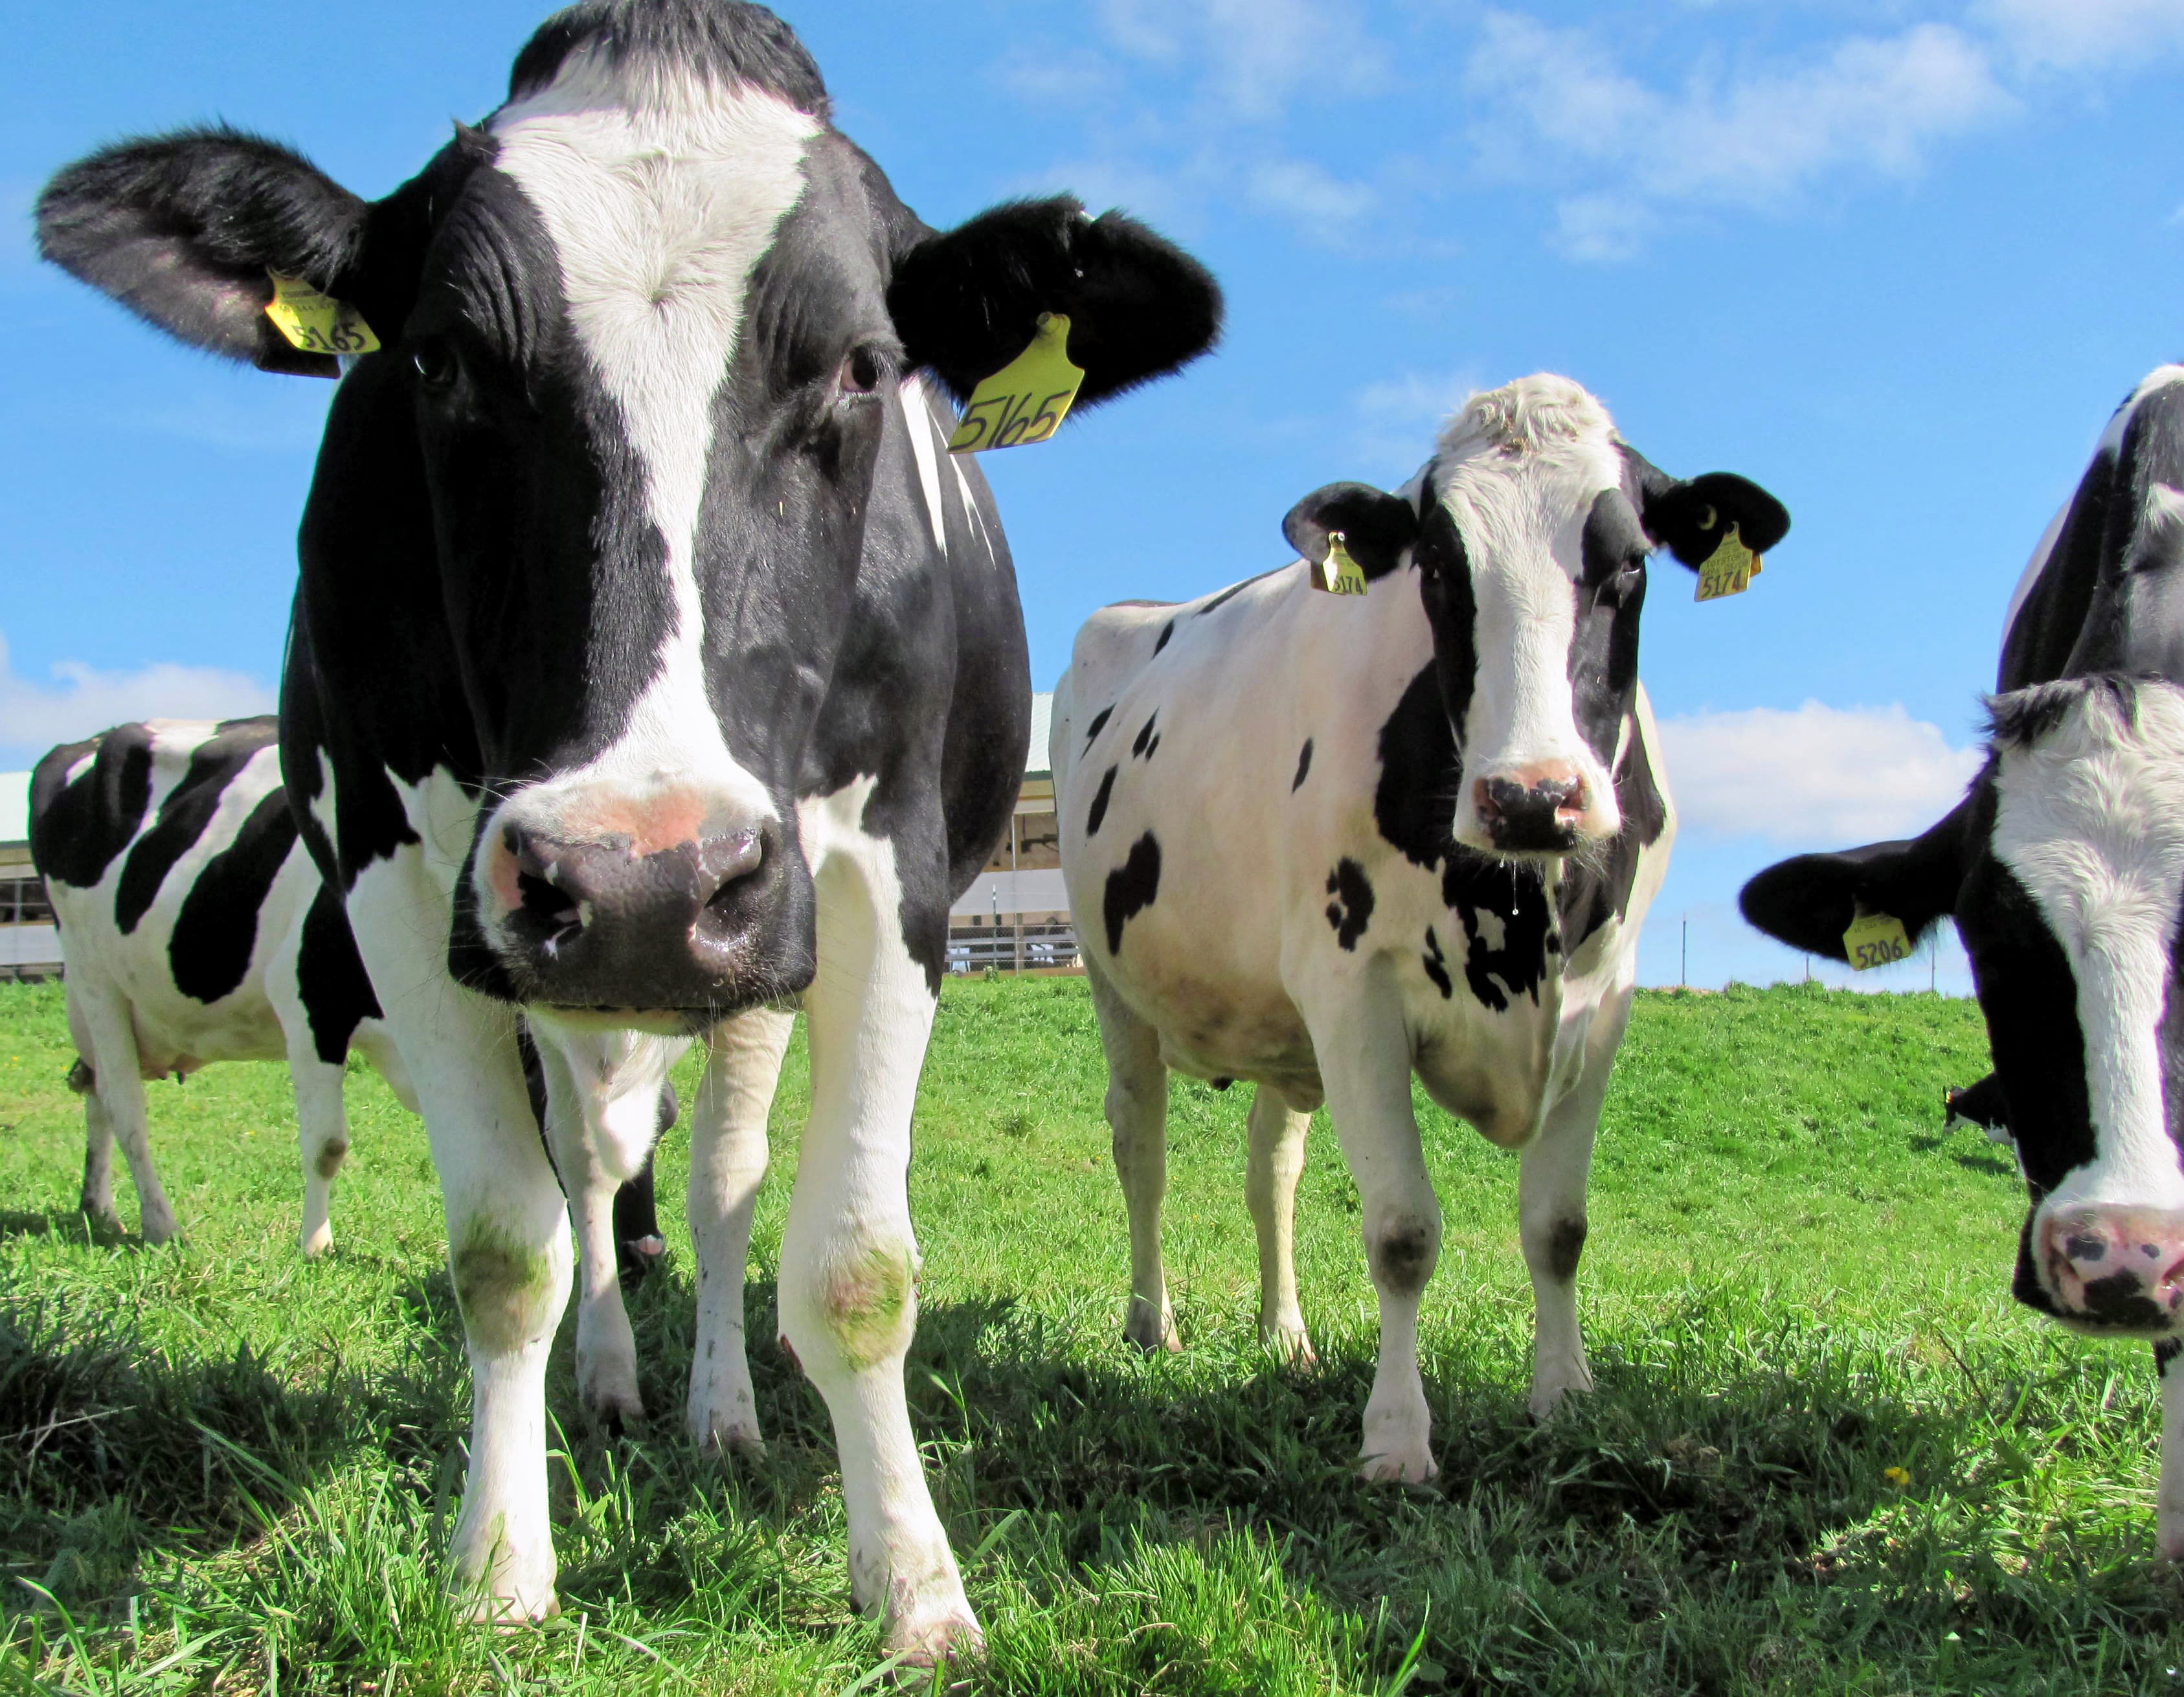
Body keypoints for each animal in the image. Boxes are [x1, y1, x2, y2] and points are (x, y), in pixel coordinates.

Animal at [36, 0, 1220, 1653]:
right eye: (439, 358)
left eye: (865, 366)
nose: (640, 875)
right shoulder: (395, 866)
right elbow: (505, 1246)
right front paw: (496, 1564)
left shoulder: (885, 878)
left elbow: (852, 1264)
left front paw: (915, 1585)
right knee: (592, 1164)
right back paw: (604, 1378)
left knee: (718, 1185)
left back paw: (717, 1406)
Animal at [1050, 374, 1790, 1482]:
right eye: (1441, 567)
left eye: (1627, 564)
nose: (1532, 797)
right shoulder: (1352, 994)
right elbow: (1401, 1232)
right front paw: (1397, 1440)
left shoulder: (1603, 1003)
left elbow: (1558, 1226)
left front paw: (1564, 1397)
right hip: (1115, 982)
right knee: (1142, 1145)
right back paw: (1152, 1323)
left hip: (1284, 1029)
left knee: (1271, 1165)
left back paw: (1284, 1335)